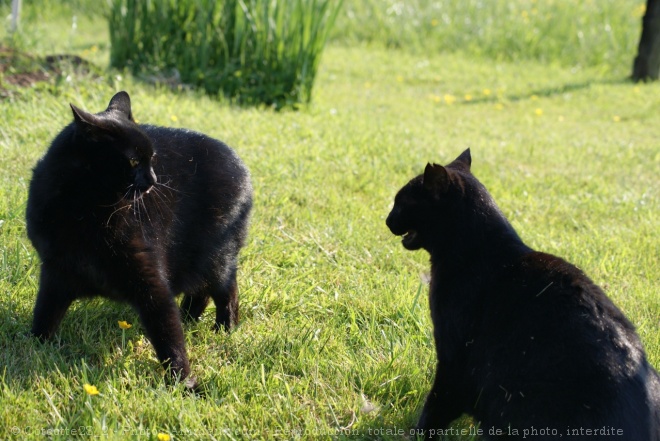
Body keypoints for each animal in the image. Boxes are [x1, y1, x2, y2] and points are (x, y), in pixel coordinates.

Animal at [26, 91, 253, 386]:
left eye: (152, 158)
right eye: (134, 161)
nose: (154, 180)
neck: (84, 210)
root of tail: (241, 165)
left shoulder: (150, 278)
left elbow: (167, 334)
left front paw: (183, 382)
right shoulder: (55, 271)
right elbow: (45, 312)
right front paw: (33, 346)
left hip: (216, 257)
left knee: (226, 291)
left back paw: (224, 329)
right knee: (200, 291)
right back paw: (189, 319)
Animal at [386, 150, 660, 438]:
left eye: (400, 203)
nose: (387, 220)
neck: (477, 249)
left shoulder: (454, 359)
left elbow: (435, 407)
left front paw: (416, 435)